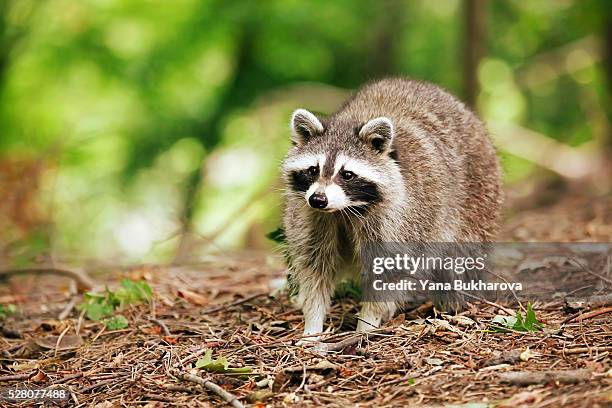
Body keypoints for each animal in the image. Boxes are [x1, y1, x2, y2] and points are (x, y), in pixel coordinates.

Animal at [282, 77, 502, 344]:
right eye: (313, 170)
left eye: (347, 174)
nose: (318, 199)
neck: (344, 210)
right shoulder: (312, 218)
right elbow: (314, 268)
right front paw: (313, 325)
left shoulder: (401, 219)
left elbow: (390, 272)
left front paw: (366, 324)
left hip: (478, 200)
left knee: (461, 259)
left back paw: (453, 302)